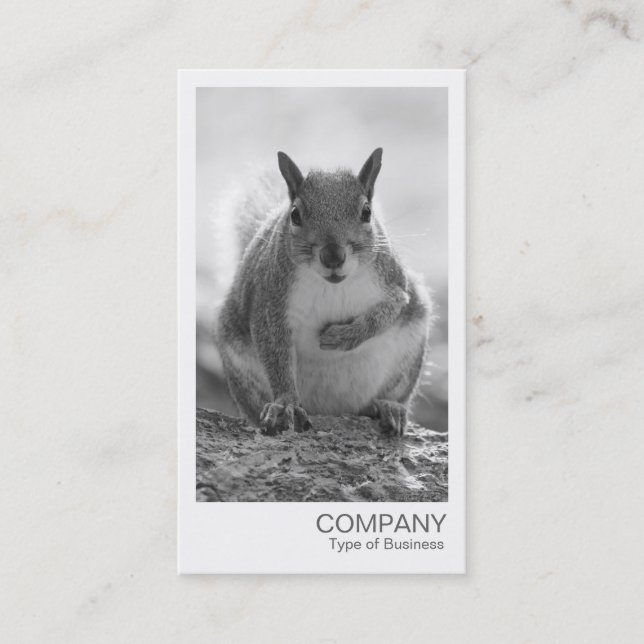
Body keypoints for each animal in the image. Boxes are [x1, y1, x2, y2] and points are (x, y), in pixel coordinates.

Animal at [214, 148, 433, 436]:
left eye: (366, 212)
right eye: (295, 215)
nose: (333, 256)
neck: (333, 286)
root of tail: (333, 411)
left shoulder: (394, 284)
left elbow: (388, 312)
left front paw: (343, 336)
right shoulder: (270, 302)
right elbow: (276, 354)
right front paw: (285, 404)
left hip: (408, 358)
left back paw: (387, 406)